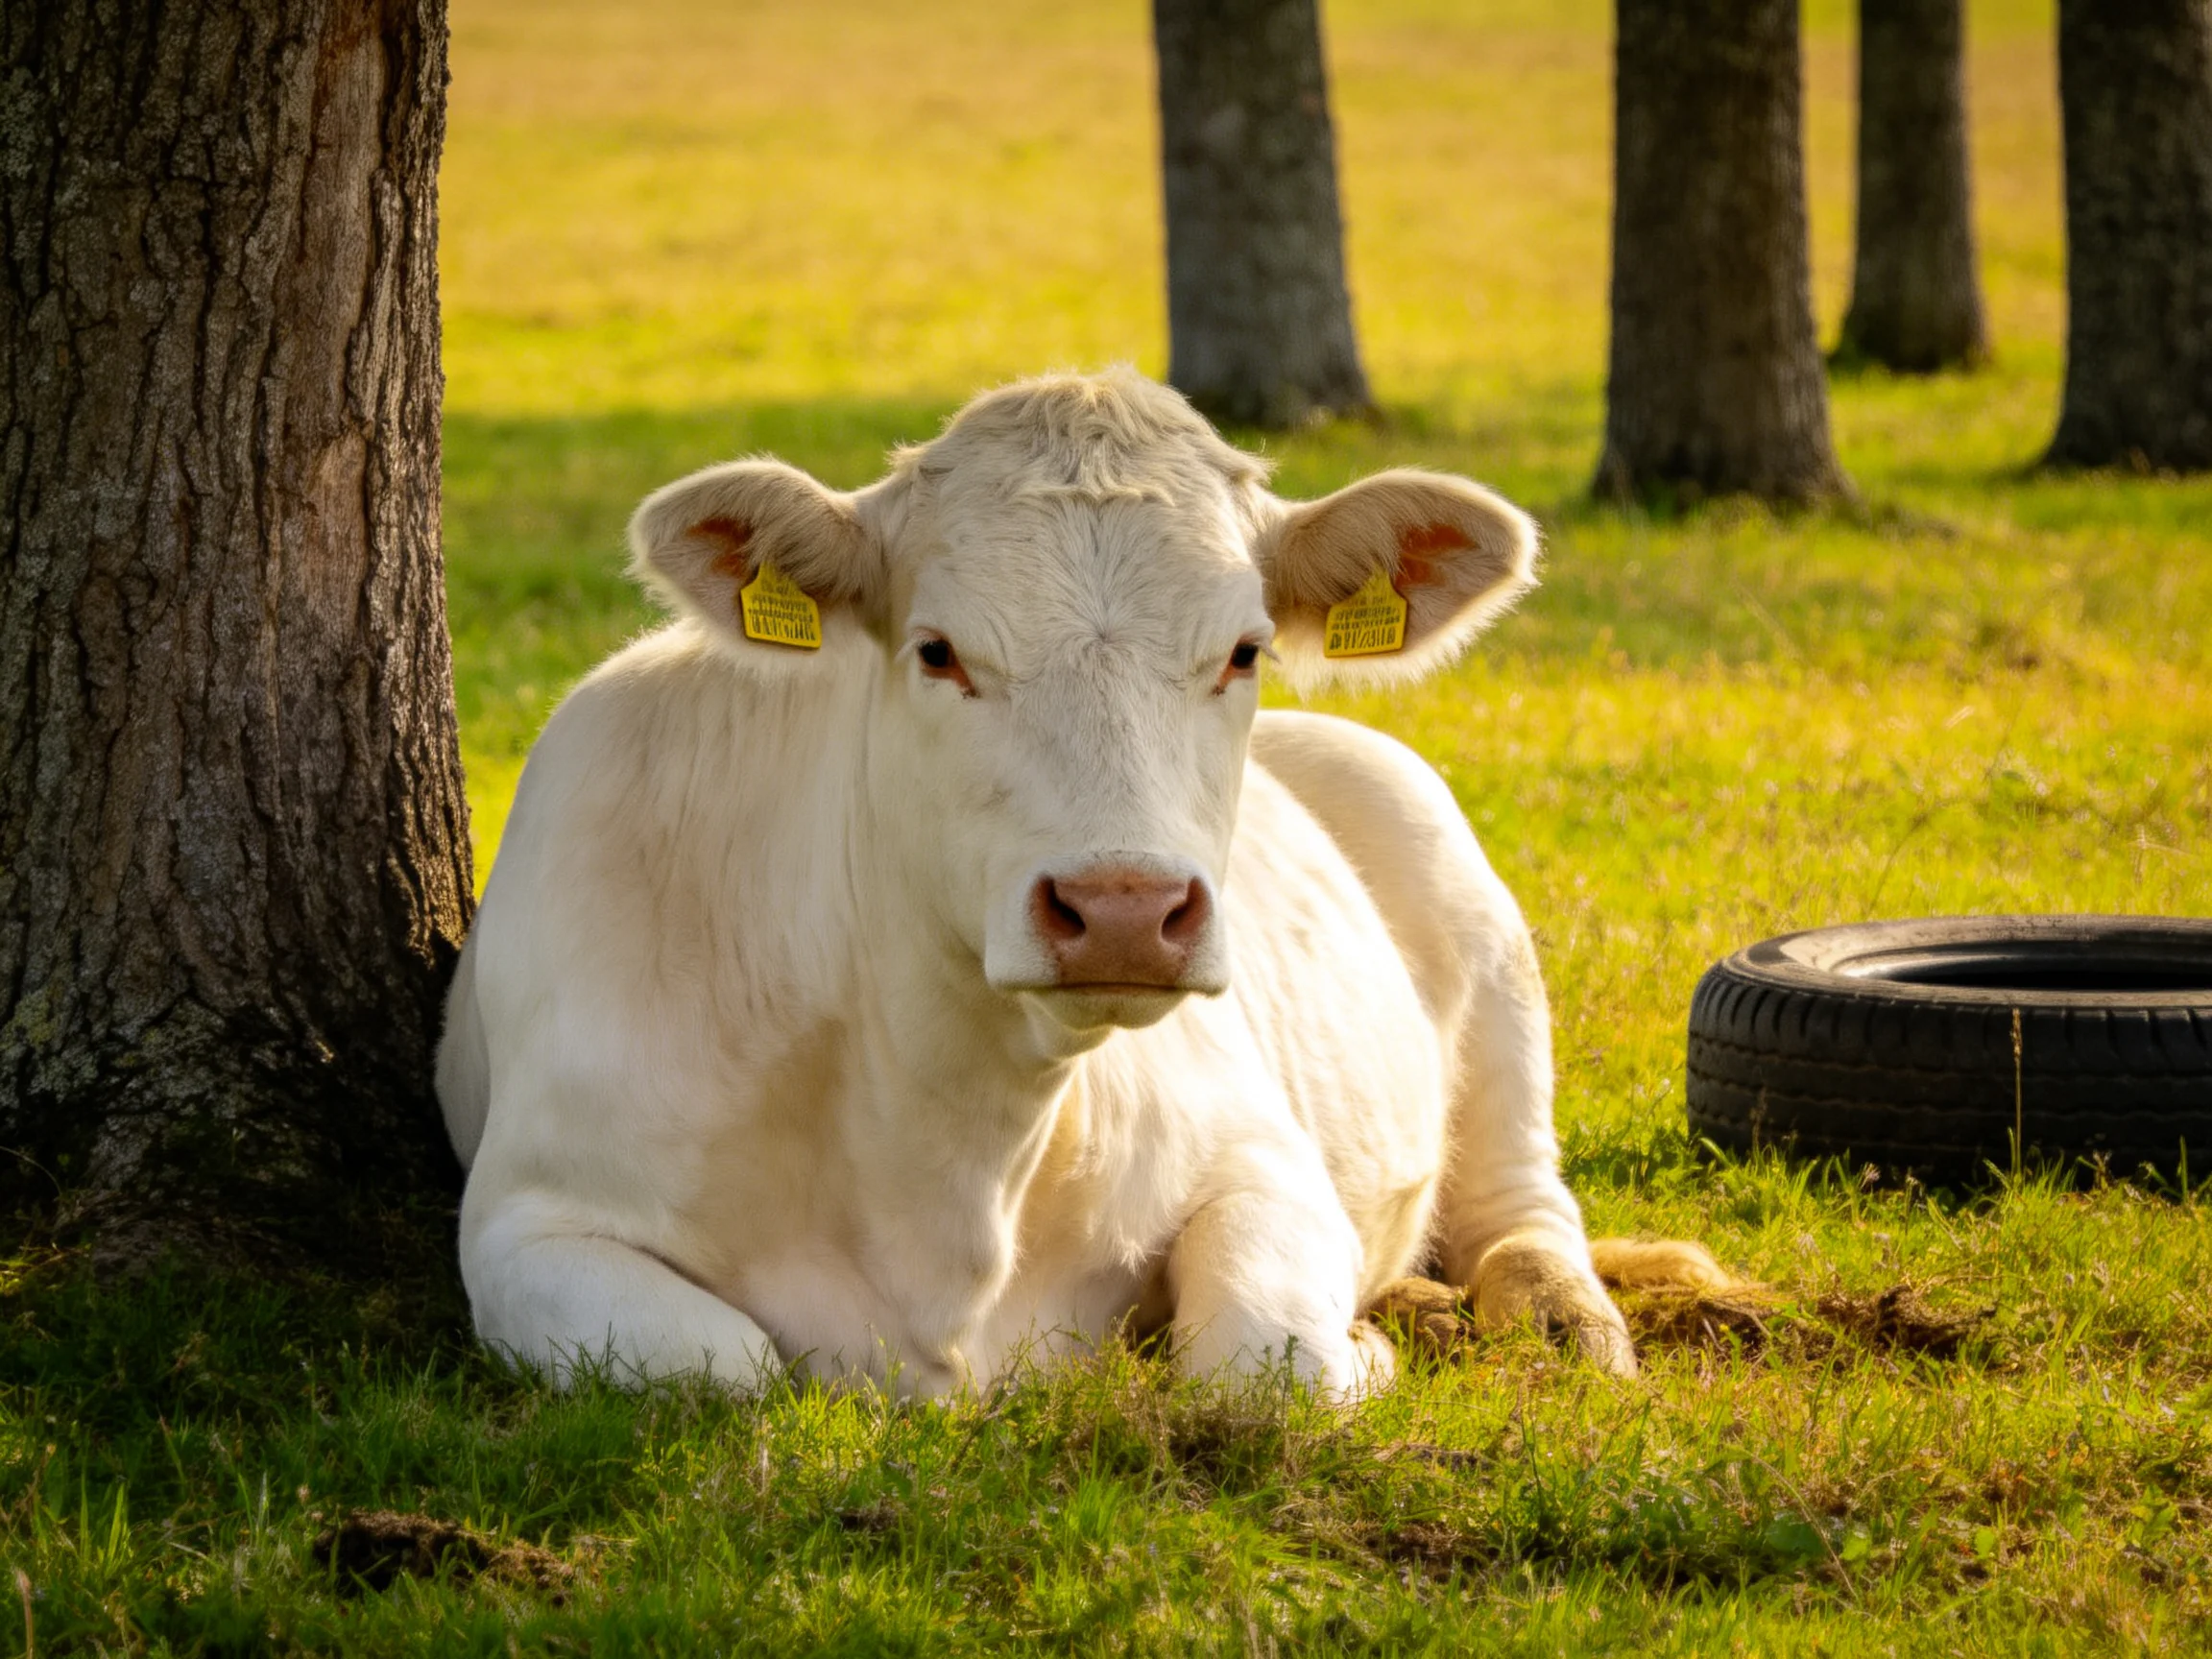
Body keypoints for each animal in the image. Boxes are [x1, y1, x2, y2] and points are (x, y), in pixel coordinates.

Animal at [436, 368, 1712, 1401]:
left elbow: (1266, 1359)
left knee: (1524, 1213)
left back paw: (1557, 1322)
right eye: (938, 651)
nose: (1124, 912)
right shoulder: (525, 1221)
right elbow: (724, 1362)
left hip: (1481, 941)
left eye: (1244, 650)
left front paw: (1364, 1342)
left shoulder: (1261, 1153)